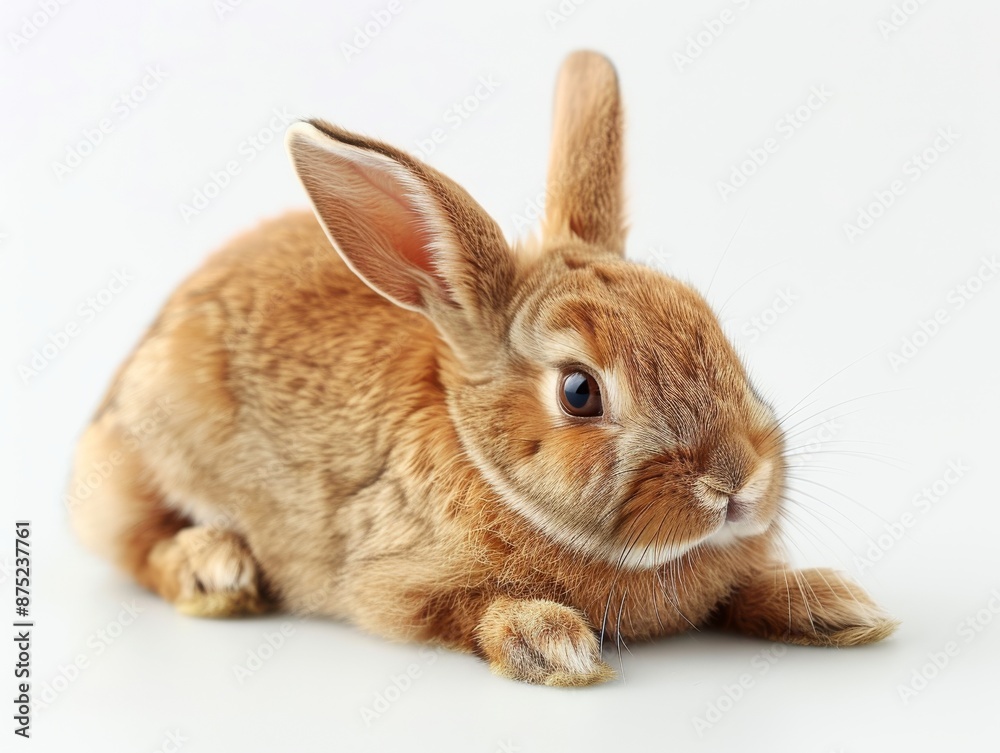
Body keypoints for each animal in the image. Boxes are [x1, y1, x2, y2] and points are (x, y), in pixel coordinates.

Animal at [68, 50, 897, 686]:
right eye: (579, 392)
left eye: (711, 328)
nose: (737, 481)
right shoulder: (392, 583)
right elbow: (467, 609)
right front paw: (551, 643)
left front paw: (832, 603)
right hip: (147, 454)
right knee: (134, 541)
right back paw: (214, 568)